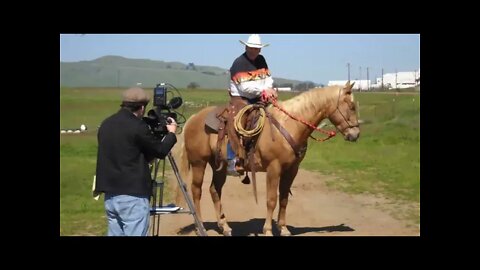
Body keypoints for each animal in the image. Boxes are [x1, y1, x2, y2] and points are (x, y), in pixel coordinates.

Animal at [178, 81, 358, 235]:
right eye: (351, 106)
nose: (355, 134)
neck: (288, 125)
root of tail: (194, 118)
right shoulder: (274, 168)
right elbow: (271, 200)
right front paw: (268, 230)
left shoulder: (292, 170)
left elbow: (284, 198)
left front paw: (283, 228)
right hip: (199, 163)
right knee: (196, 191)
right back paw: (200, 226)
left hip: (219, 166)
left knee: (214, 190)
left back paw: (225, 227)